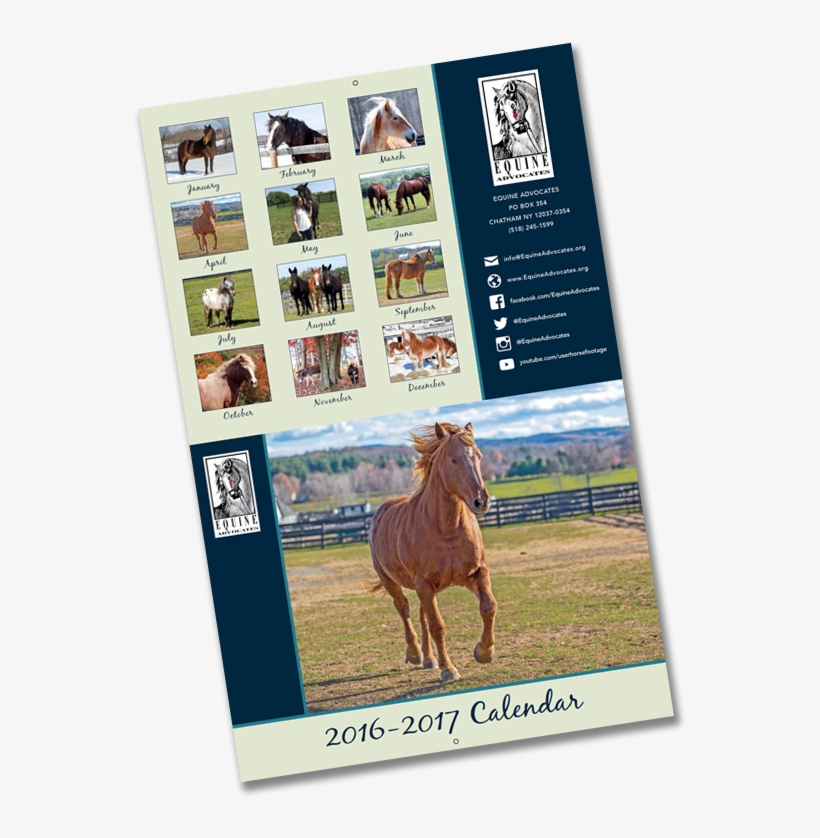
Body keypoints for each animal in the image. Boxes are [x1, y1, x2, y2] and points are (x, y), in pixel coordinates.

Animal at [366, 422, 495, 683]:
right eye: (453, 460)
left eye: (478, 456)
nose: (481, 501)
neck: (446, 529)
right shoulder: (424, 585)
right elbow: (438, 626)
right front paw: (449, 669)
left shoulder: (476, 573)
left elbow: (488, 607)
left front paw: (483, 651)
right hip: (391, 581)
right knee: (404, 609)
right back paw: (415, 653)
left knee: (421, 613)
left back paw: (428, 658)